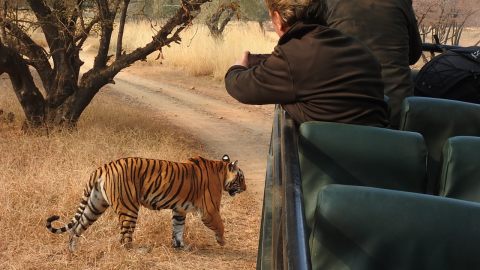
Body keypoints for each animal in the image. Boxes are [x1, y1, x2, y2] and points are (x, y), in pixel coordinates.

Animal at [45, 155, 246, 252]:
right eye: (241, 178)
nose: (245, 188)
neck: (220, 171)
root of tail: (102, 167)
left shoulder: (179, 209)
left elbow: (178, 228)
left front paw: (180, 246)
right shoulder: (210, 210)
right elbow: (220, 225)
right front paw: (222, 241)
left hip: (95, 205)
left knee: (76, 228)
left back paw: (73, 250)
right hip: (129, 208)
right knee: (124, 238)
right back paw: (137, 250)